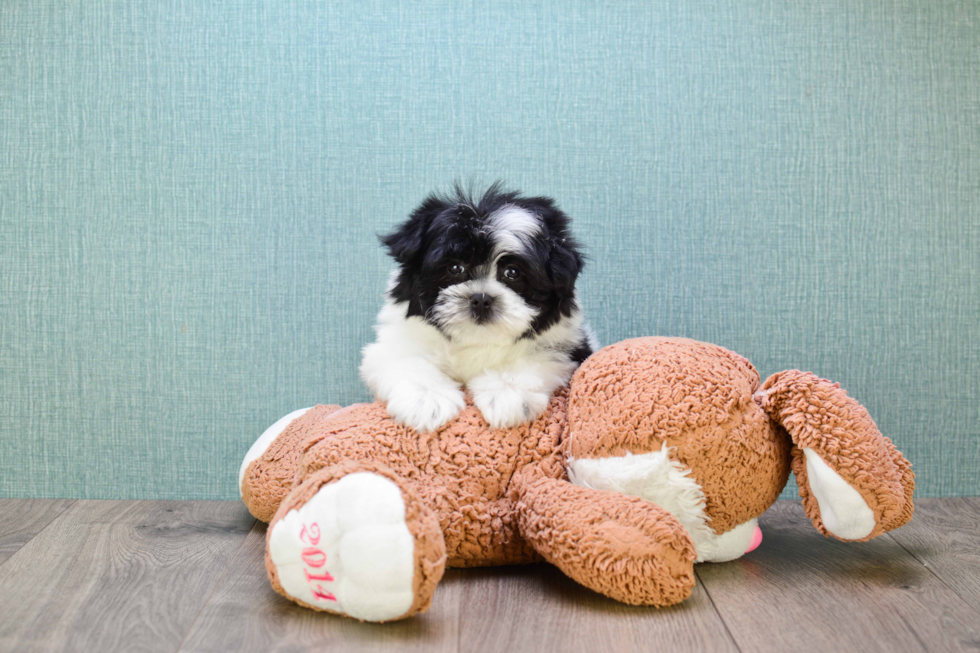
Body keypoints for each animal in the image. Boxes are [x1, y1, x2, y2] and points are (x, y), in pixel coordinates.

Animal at [358, 181, 592, 430]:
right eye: (455, 268)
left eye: (512, 273)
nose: (481, 298)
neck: (476, 339)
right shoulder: (395, 343)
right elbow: (407, 360)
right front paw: (428, 398)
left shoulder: (565, 348)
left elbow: (536, 359)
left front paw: (506, 392)